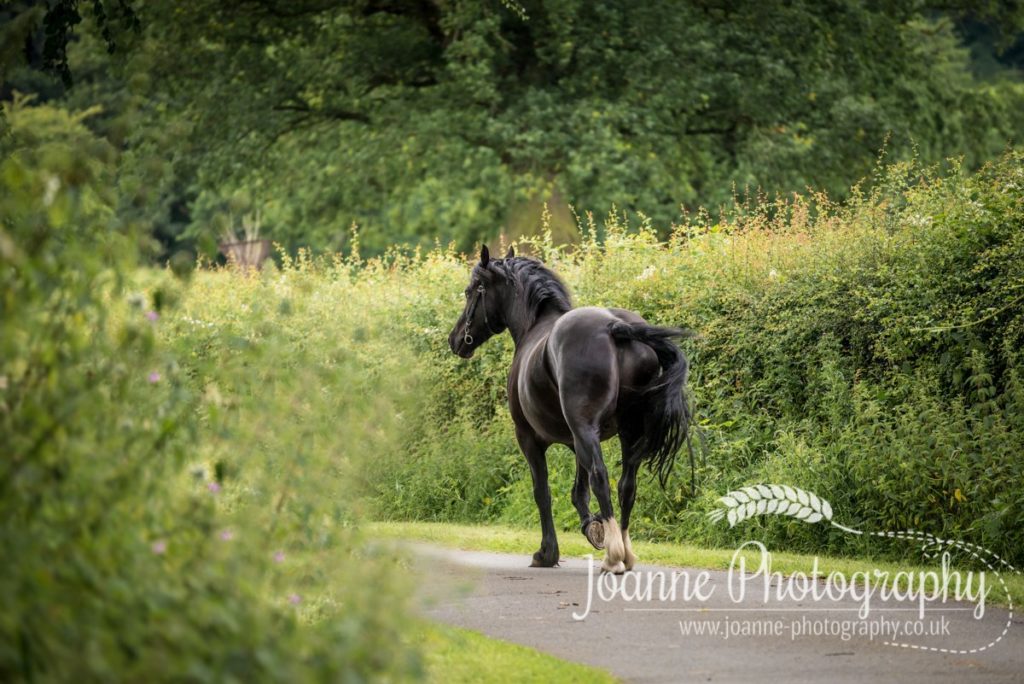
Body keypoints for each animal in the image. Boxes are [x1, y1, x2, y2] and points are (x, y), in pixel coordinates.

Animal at [446, 245, 692, 573]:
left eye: (471, 290)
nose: (456, 339)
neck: (534, 328)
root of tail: (615, 327)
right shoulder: (576, 441)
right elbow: (579, 490)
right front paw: (593, 528)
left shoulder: (530, 439)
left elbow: (544, 492)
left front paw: (547, 553)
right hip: (628, 432)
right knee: (626, 485)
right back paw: (625, 551)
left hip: (586, 429)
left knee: (601, 477)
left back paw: (613, 556)